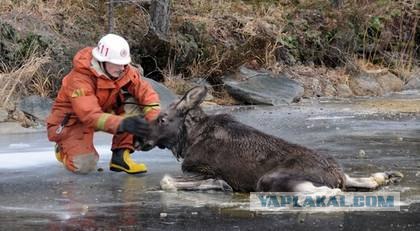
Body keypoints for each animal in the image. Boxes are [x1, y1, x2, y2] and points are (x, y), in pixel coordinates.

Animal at [137, 85, 400, 192]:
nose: (140, 141)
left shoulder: (201, 170)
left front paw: (220, 185)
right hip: (336, 175)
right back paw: (383, 176)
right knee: (355, 179)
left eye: (162, 119)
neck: (188, 139)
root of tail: (335, 175)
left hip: (267, 179)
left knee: (328, 191)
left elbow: (166, 180)